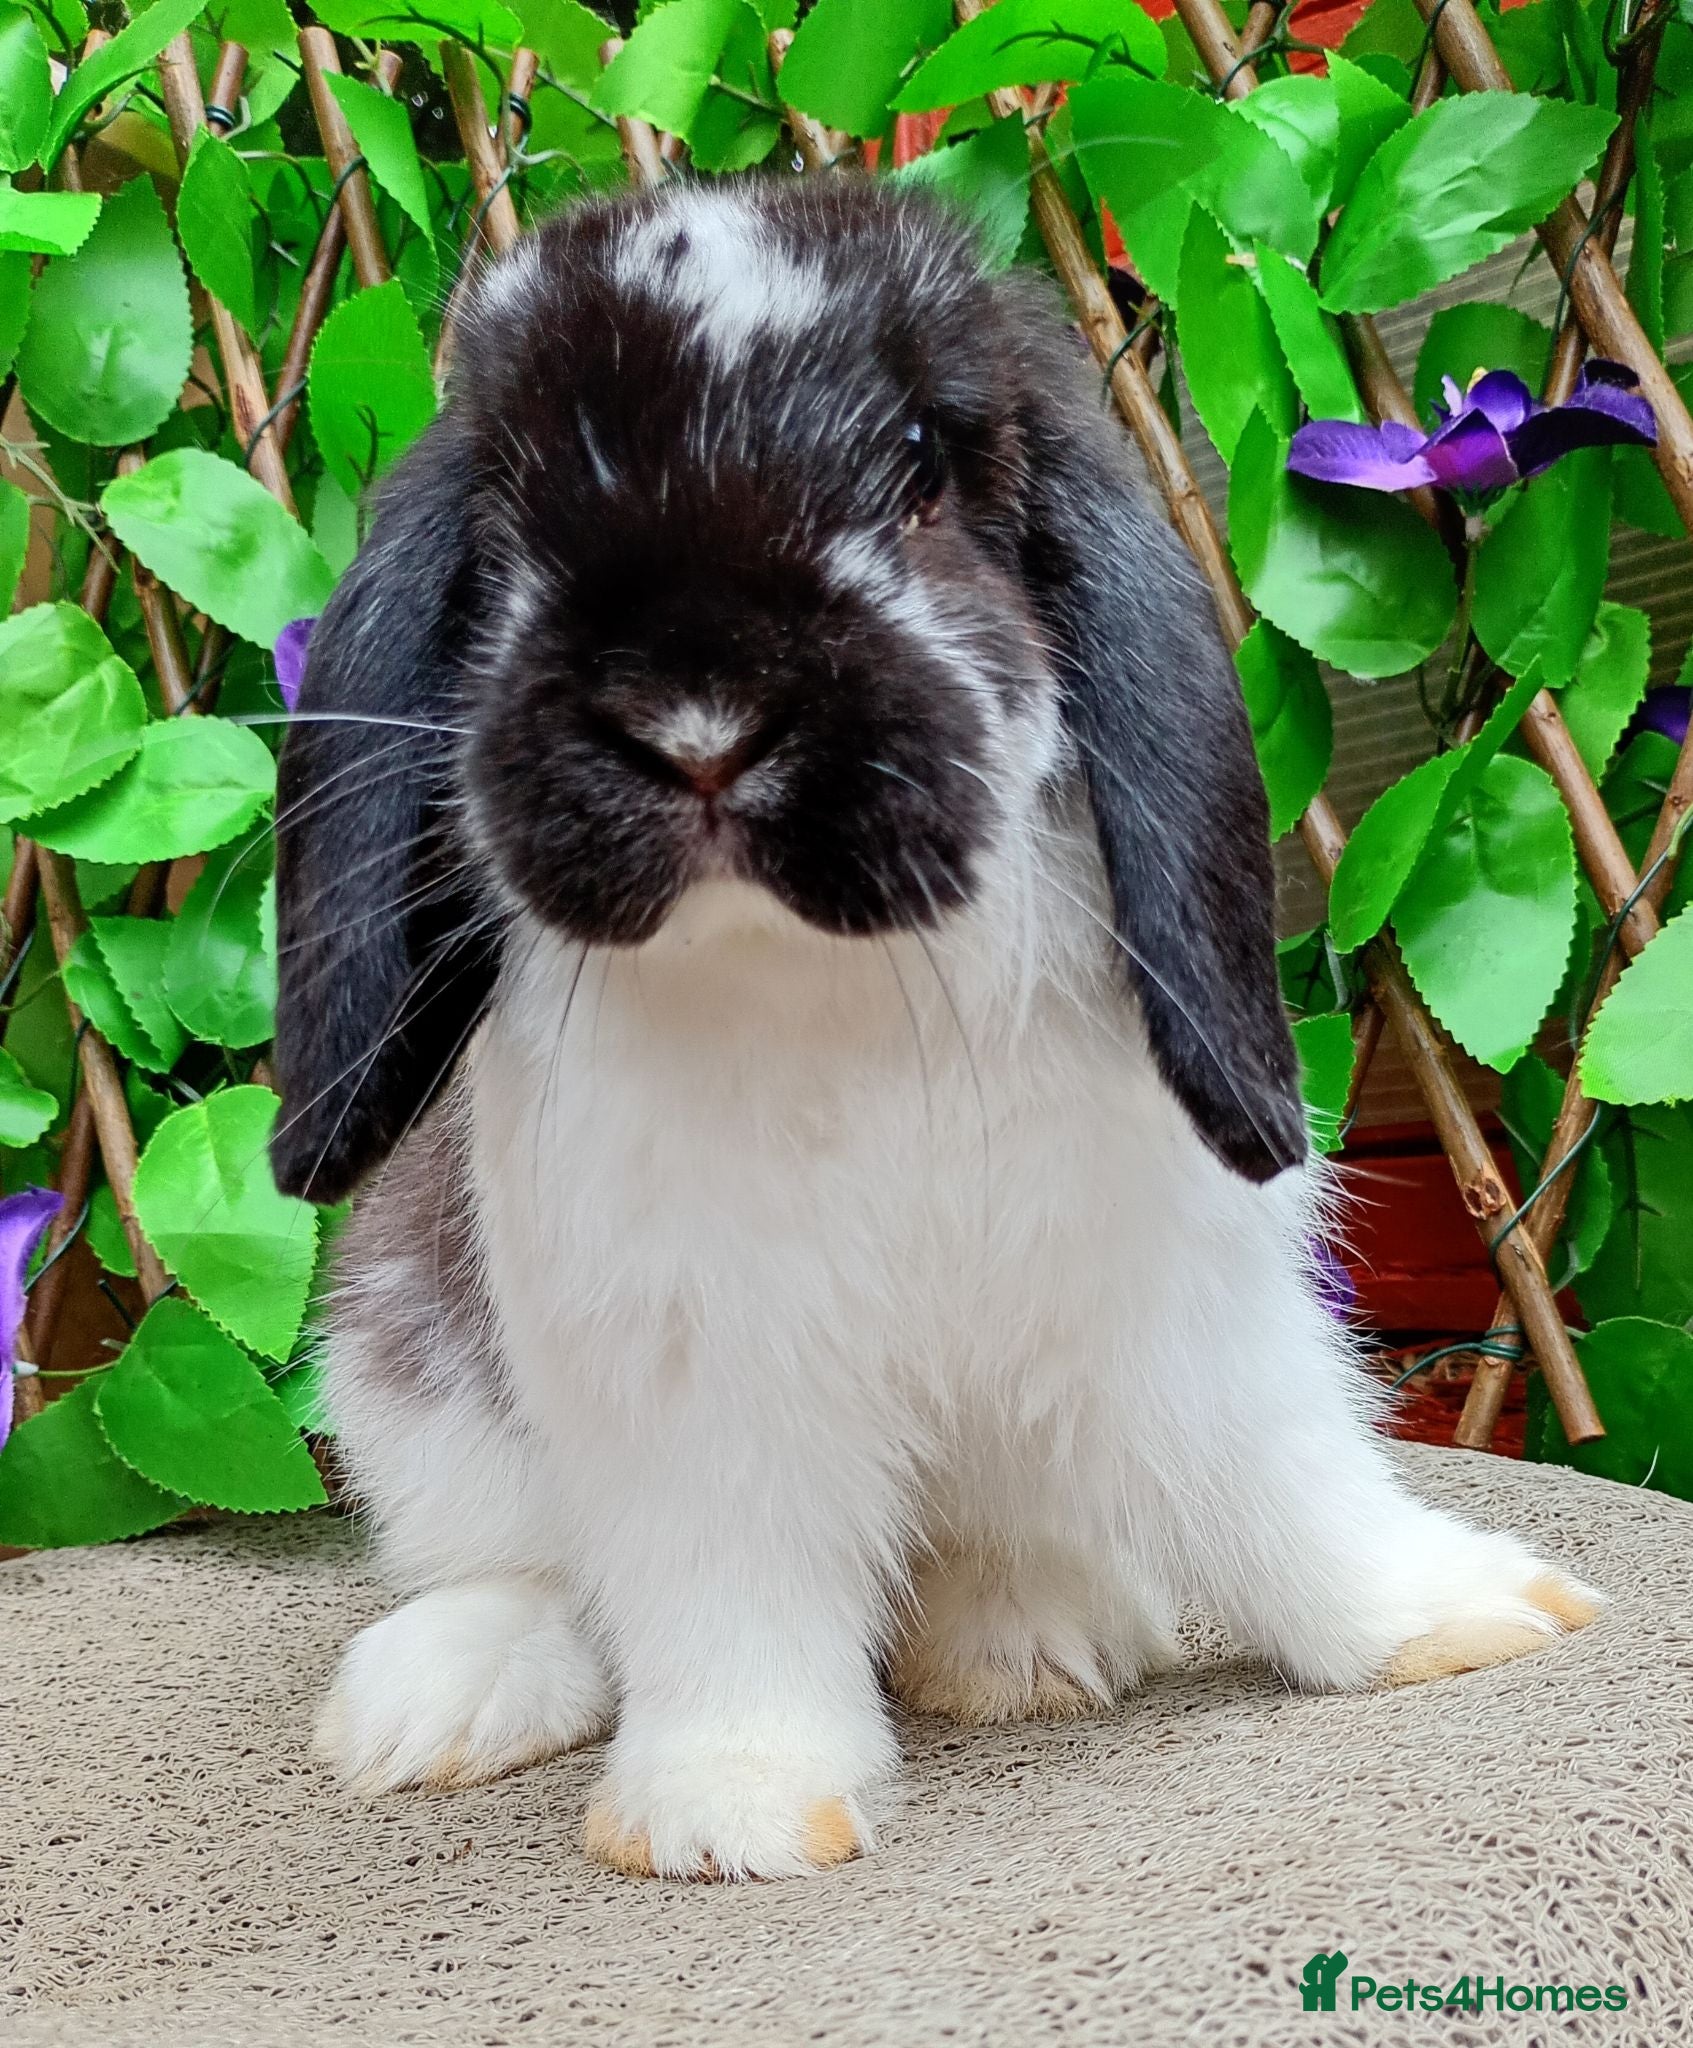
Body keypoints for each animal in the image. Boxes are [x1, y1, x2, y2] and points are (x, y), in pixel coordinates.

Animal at [272, 176, 1599, 1881]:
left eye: (917, 466)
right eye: (508, 517)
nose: (697, 722)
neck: (824, 979)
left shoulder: (1185, 1307)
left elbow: (1293, 1488)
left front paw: (1467, 1619)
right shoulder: (694, 1376)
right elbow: (728, 1600)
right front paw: (731, 1812)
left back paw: (1028, 1637)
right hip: (410, 1379)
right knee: (536, 1575)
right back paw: (441, 1698)